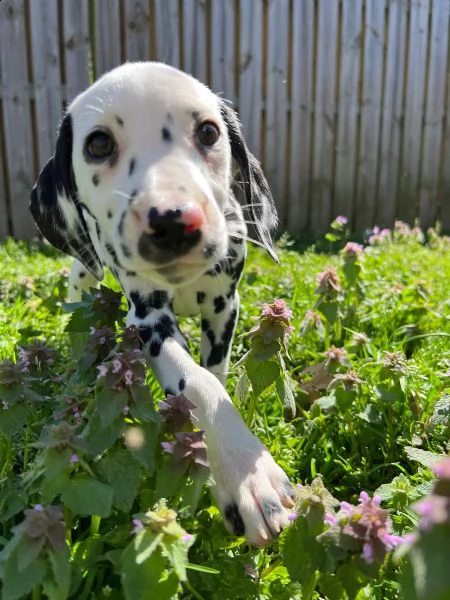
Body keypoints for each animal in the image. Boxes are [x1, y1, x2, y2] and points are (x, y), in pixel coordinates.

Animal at [29, 63, 294, 548]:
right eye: (99, 144)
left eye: (208, 132)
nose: (174, 221)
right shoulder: (149, 320)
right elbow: (198, 383)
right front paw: (245, 473)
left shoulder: (225, 309)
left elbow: (214, 375)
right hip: (82, 272)